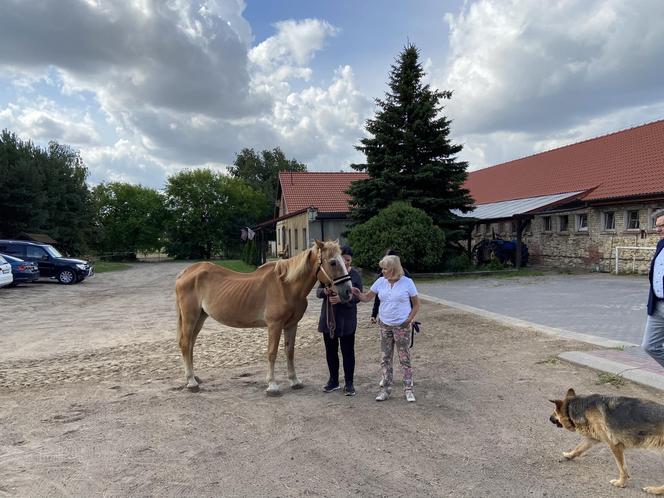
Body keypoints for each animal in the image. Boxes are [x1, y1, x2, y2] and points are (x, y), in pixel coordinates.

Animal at [175, 239, 352, 394]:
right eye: (333, 262)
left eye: (343, 260)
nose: (348, 291)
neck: (286, 286)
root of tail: (186, 272)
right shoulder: (275, 325)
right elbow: (272, 352)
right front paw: (272, 385)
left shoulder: (291, 324)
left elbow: (290, 351)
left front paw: (294, 381)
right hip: (190, 317)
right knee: (185, 344)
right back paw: (191, 382)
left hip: (200, 317)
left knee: (190, 345)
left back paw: (194, 377)